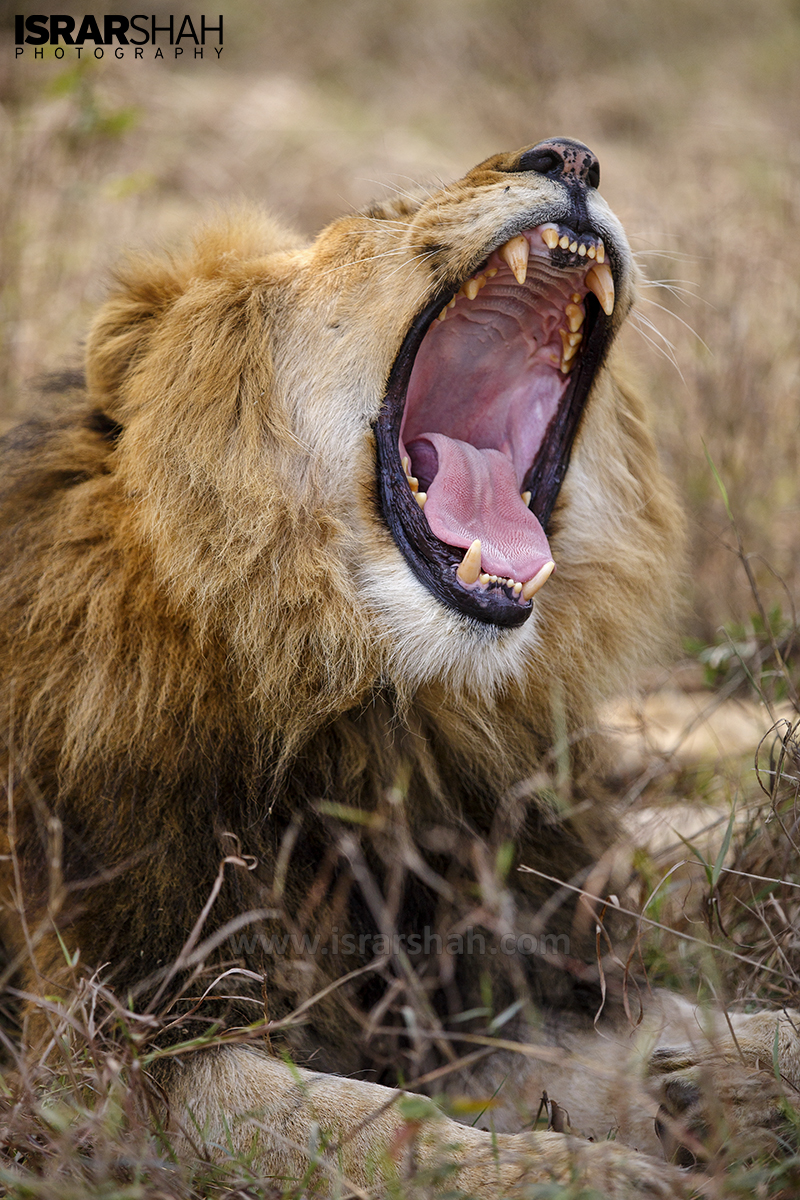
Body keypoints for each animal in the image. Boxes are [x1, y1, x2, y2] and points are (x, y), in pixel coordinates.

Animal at [1, 142, 800, 1200]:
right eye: (379, 218)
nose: (574, 157)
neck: (372, 711)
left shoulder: (488, 980)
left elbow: (668, 1030)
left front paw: (730, 1084)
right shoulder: (106, 1051)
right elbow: (358, 1122)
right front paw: (586, 1171)